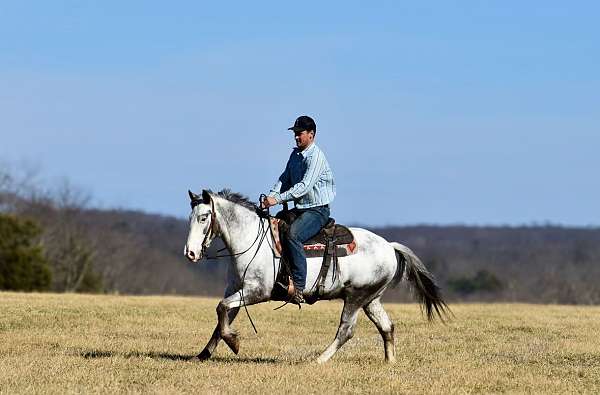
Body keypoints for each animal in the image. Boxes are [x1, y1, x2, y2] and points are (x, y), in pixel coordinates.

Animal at [185, 189, 448, 366]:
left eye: (204, 217)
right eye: (191, 217)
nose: (190, 253)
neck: (250, 240)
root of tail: (389, 247)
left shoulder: (256, 292)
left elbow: (221, 309)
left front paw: (234, 342)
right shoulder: (236, 290)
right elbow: (221, 318)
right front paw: (203, 354)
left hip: (356, 296)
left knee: (346, 330)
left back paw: (319, 359)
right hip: (371, 299)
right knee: (387, 327)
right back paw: (390, 362)